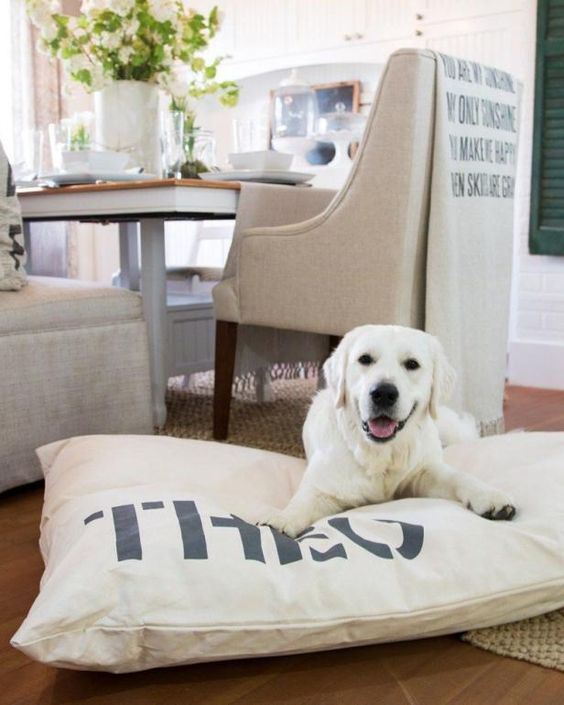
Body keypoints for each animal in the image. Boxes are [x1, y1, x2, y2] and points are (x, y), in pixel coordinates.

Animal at [264, 322, 516, 536]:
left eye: (412, 364)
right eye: (365, 359)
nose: (383, 393)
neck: (382, 455)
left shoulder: (424, 472)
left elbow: (458, 476)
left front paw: (489, 496)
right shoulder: (325, 486)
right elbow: (303, 501)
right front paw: (282, 520)